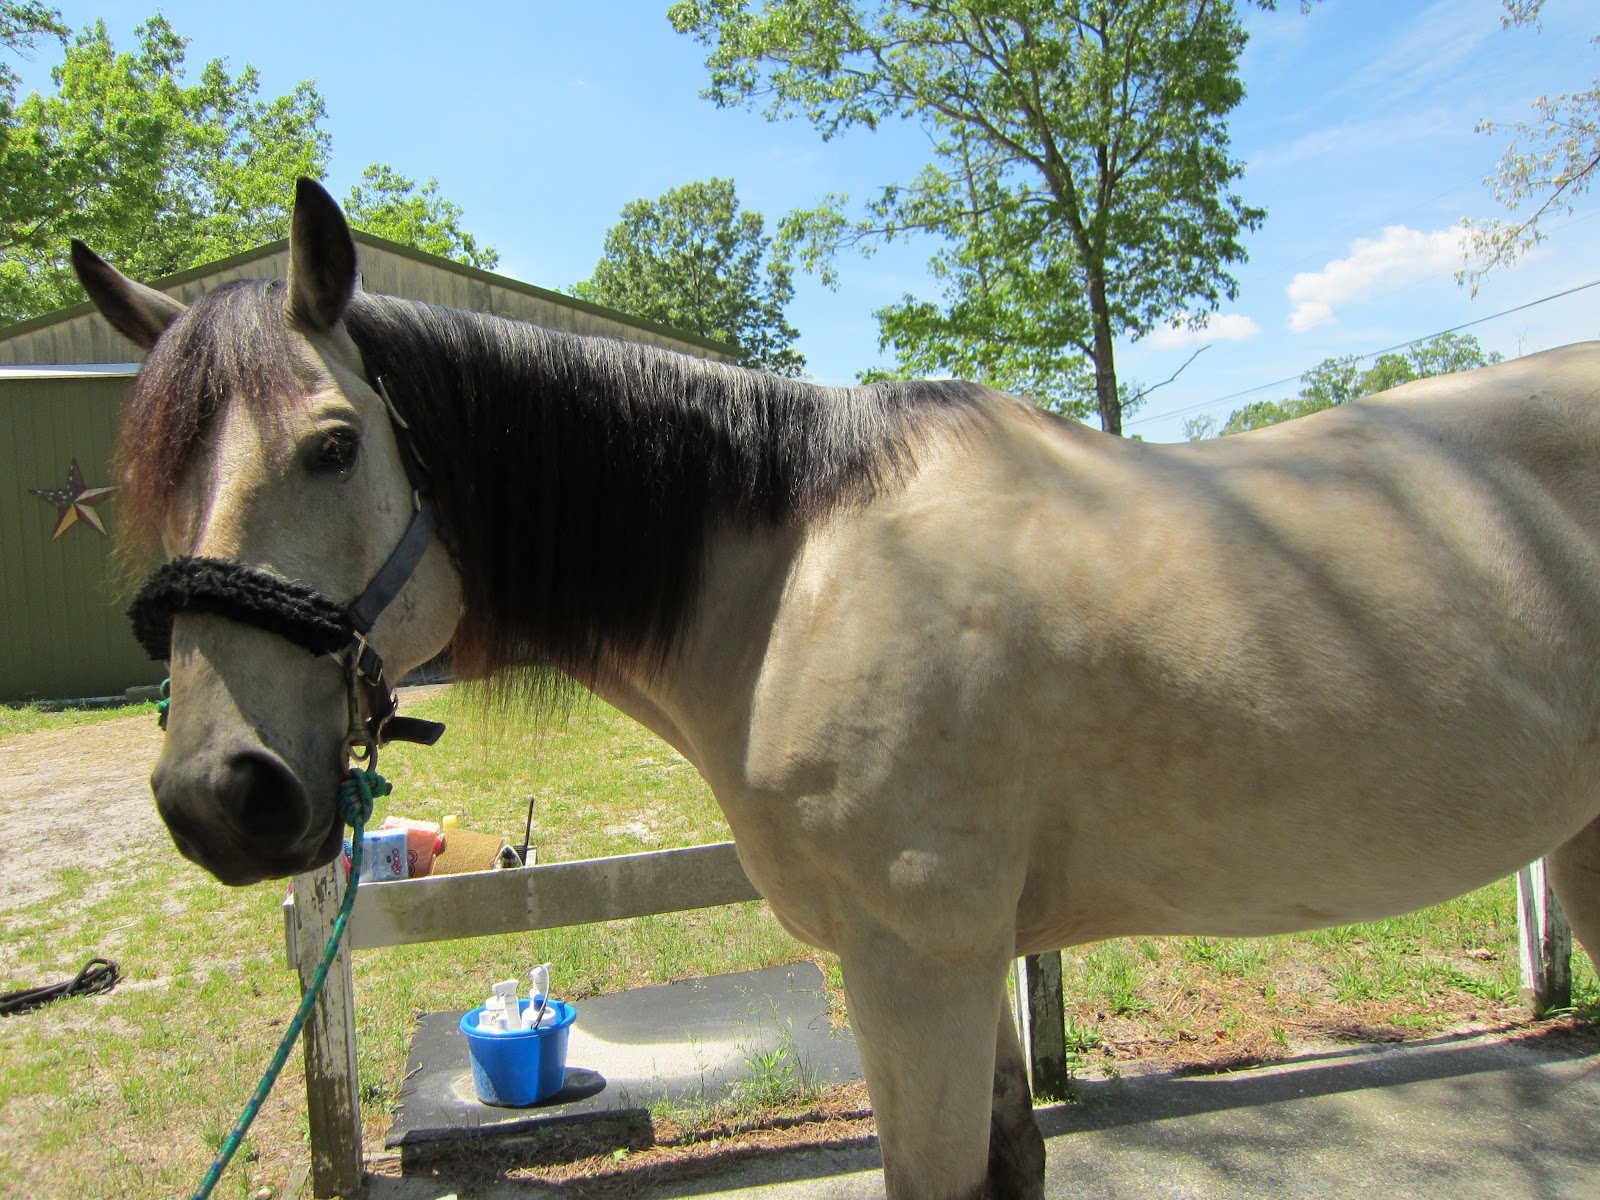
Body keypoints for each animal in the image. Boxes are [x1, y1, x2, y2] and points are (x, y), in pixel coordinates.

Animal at [74, 177, 1600, 1199]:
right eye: (145, 487)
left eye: (332, 447)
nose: (217, 796)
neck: (797, 575)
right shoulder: (962, 962)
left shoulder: (916, 962)